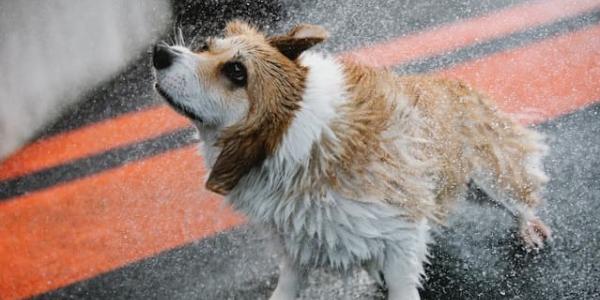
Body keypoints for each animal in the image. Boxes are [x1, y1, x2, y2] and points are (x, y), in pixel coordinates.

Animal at [152, 19, 552, 298]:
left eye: (237, 72)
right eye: (205, 46)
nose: (159, 53)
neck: (292, 140)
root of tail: (459, 83)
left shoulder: (403, 230)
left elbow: (402, 284)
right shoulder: (295, 243)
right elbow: (287, 285)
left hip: (490, 180)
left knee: (522, 196)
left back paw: (530, 229)